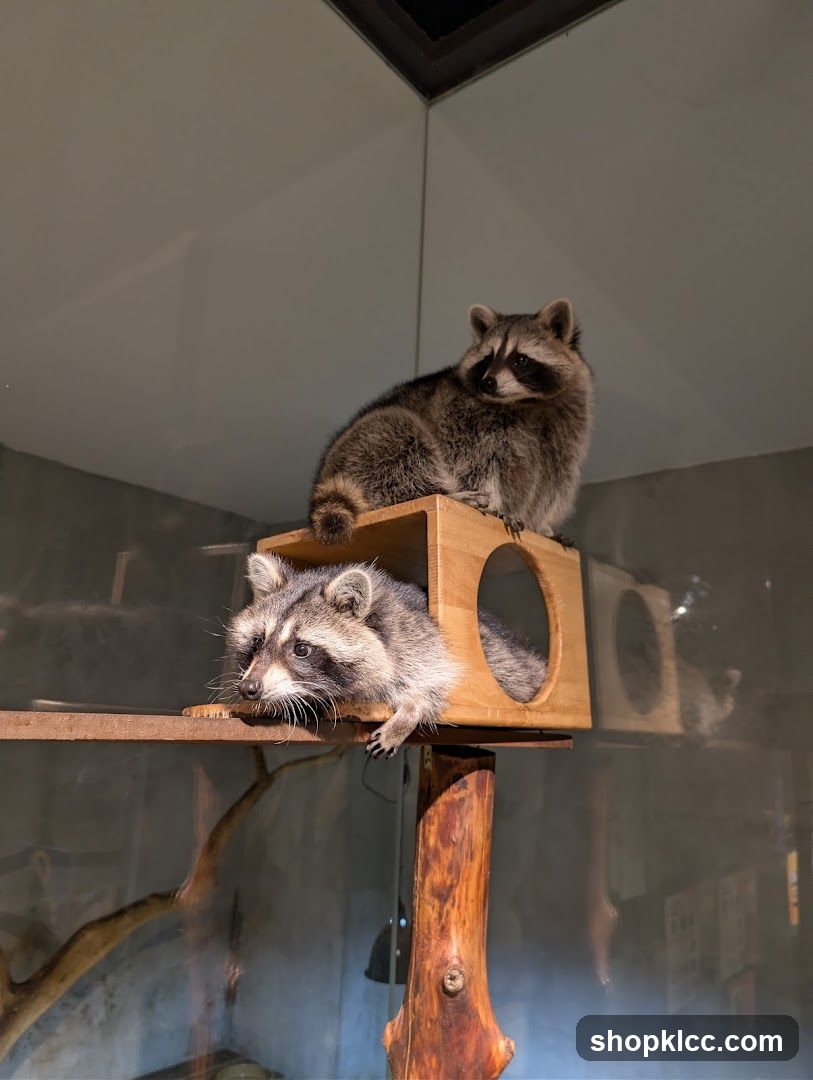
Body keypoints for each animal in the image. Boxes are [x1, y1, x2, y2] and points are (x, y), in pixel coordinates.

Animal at [226, 552, 547, 757]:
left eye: (301, 649)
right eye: (258, 641)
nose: (249, 688)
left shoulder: (419, 642)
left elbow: (436, 681)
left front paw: (411, 711)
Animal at [310, 299, 593, 545]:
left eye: (520, 359)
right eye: (487, 359)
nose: (488, 382)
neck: (526, 402)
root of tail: (324, 472)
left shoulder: (567, 432)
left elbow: (556, 480)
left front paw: (543, 525)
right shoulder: (466, 420)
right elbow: (478, 463)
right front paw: (498, 505)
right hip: (362, 444)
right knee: (399, 439)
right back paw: (443, 494)